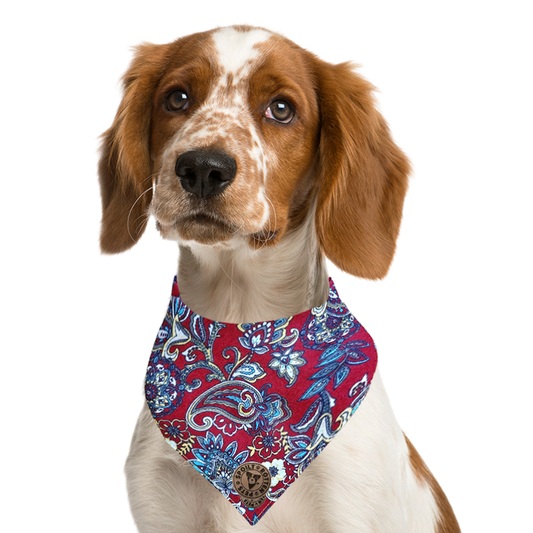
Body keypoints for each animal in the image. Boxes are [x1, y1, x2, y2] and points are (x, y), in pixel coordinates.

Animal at [97, 25, 460, 532]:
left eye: (282, 109)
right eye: (176, 98)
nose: (202, 168)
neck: (241, 318)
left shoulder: (351, 503)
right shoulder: (162, 508)